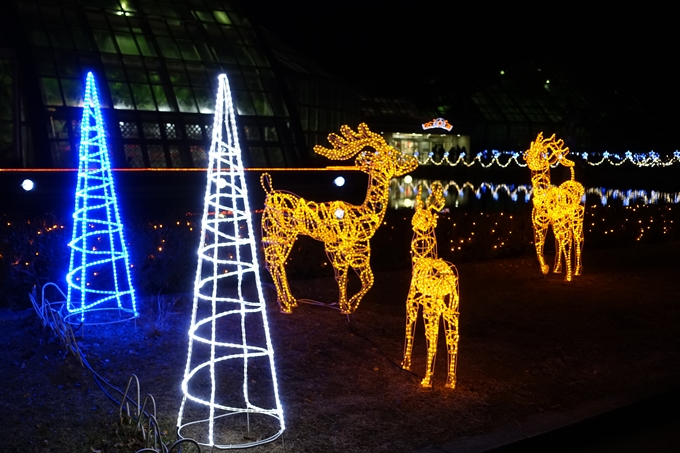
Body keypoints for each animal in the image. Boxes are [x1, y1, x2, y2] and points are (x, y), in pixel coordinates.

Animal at [262, 123, 418, 314]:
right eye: (391, 154)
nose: (414, 160)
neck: (362, 213)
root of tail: (269, 192)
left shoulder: (357, 248)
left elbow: (364, 278)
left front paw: (348, 305)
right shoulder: (341, 247)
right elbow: (347, 277)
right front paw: (345, 306)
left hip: (282, 236)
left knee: (278, 263)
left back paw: (290, 301)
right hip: (277, 233)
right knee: (272, 262)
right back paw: (285, 305)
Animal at [402, 182, 460, 386]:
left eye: (425, 216)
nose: (414, 221)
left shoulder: (412, 303)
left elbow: (410, 332)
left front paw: (406, 365)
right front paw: (406, 364)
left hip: (433, 308)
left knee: (434, 340)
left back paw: (427, 380)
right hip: (452, 309)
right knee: (453, 339)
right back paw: (450, 381)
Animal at [524, 132, 584, 278]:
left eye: (543, 154)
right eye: (530, 149)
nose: (526, 156)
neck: (544, 196)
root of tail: (574, 181)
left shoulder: (561, 222)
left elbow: (567, 243)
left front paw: (569, 276)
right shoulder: (540, 223)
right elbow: (538, 245)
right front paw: (545, 268)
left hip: (576, 219)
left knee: (577, 239)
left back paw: (577, 271)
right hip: (560, 224)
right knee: (560, 240)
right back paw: (557, 268)